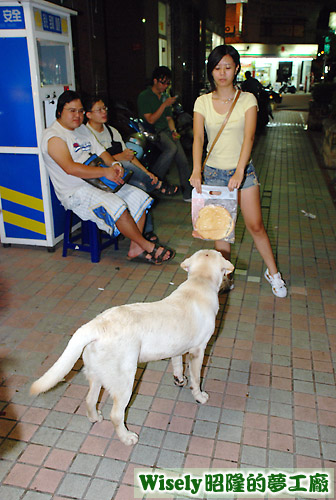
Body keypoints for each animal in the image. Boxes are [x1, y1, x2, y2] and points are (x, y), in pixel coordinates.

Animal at [30, 250, 234, 446]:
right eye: (226, 272)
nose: (231, 282)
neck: (199, 281)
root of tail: (96, 325)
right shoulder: (198, 350)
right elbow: (196, 378)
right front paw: (199, 396)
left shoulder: (177, 347)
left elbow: (177, 364)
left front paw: (179, 379)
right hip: (125, 381)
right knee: (116, 415)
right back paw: (127, 438)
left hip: (96, 373)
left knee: (90, 399)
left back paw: (95, 418)